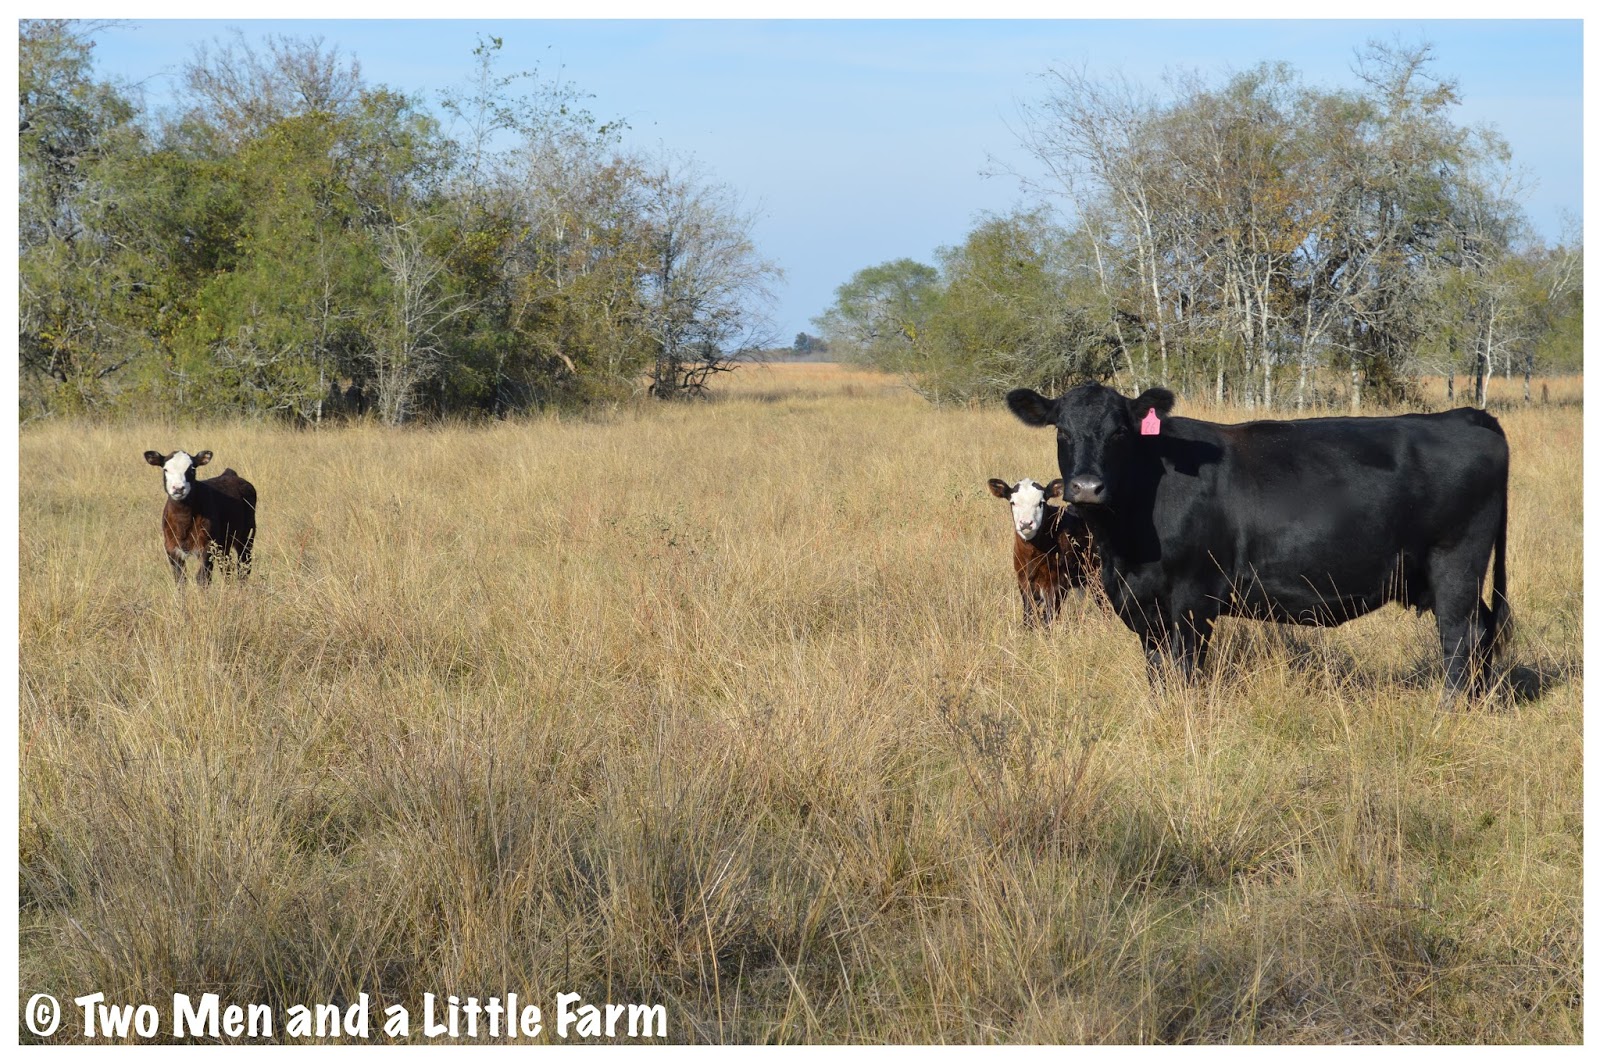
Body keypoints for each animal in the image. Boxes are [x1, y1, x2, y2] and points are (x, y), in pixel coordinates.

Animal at [143, 449, 257, 586]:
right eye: (165, 469)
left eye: (192, 469)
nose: (178, 488)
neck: (183, 522)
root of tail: (230, 474)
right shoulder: (171, 548)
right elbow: (180, 579)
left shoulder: (207, 545)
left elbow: (203, 578)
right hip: (224, 543)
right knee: (227, 566)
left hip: (246, 537)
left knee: (244, 566)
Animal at [986, 477, 1096, 627]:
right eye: (1013, 502)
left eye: (1041, 503)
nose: (1026, 523)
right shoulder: (1023, 579)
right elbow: (1028, 612)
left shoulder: (1058, 581)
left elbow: (1049, 616)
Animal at [1004, 383, 1511, 699]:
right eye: (1062, 430)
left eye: (1120, 432)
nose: (1087, 487)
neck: (1125, 549)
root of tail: (1464, 416)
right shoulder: (1141, 603)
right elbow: (1158, 669)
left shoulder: (1193, 595)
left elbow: (1185, 667)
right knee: (1484, 629)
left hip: (1456, 563)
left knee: (1460, 636)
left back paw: (1450, 709)